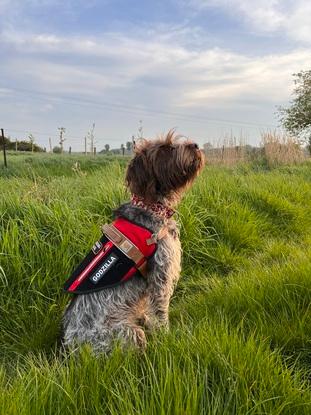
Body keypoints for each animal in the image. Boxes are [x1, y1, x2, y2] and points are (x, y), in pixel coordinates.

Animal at [62, 131, 206, 354]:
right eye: (164, 149)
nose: (196, 145)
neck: (150, 207)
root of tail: (69, 346)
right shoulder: (160, 275)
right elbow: (161, 312)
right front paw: (167, 338)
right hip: (129, 333)